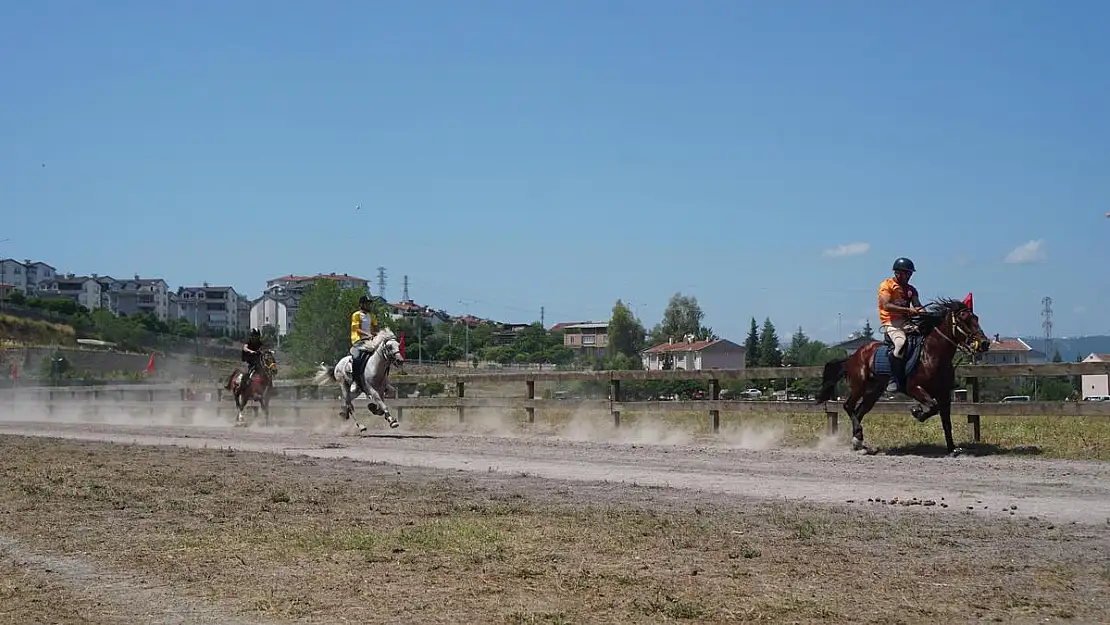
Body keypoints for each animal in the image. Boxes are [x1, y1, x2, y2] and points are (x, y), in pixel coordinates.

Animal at [816, 297, 990, 455]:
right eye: (964, 319)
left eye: (976, 318)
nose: (985, 343)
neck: (931, 355)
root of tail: (853, 356)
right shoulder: (914, 388)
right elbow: (932, 407)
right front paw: (916, 411)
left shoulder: (944, 394)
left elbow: (946, 421)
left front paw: (952, 449)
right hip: (859, 387)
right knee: (848, 406)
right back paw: (858, 439)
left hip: (873, 392)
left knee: (859, 412)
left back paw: (859, 443)